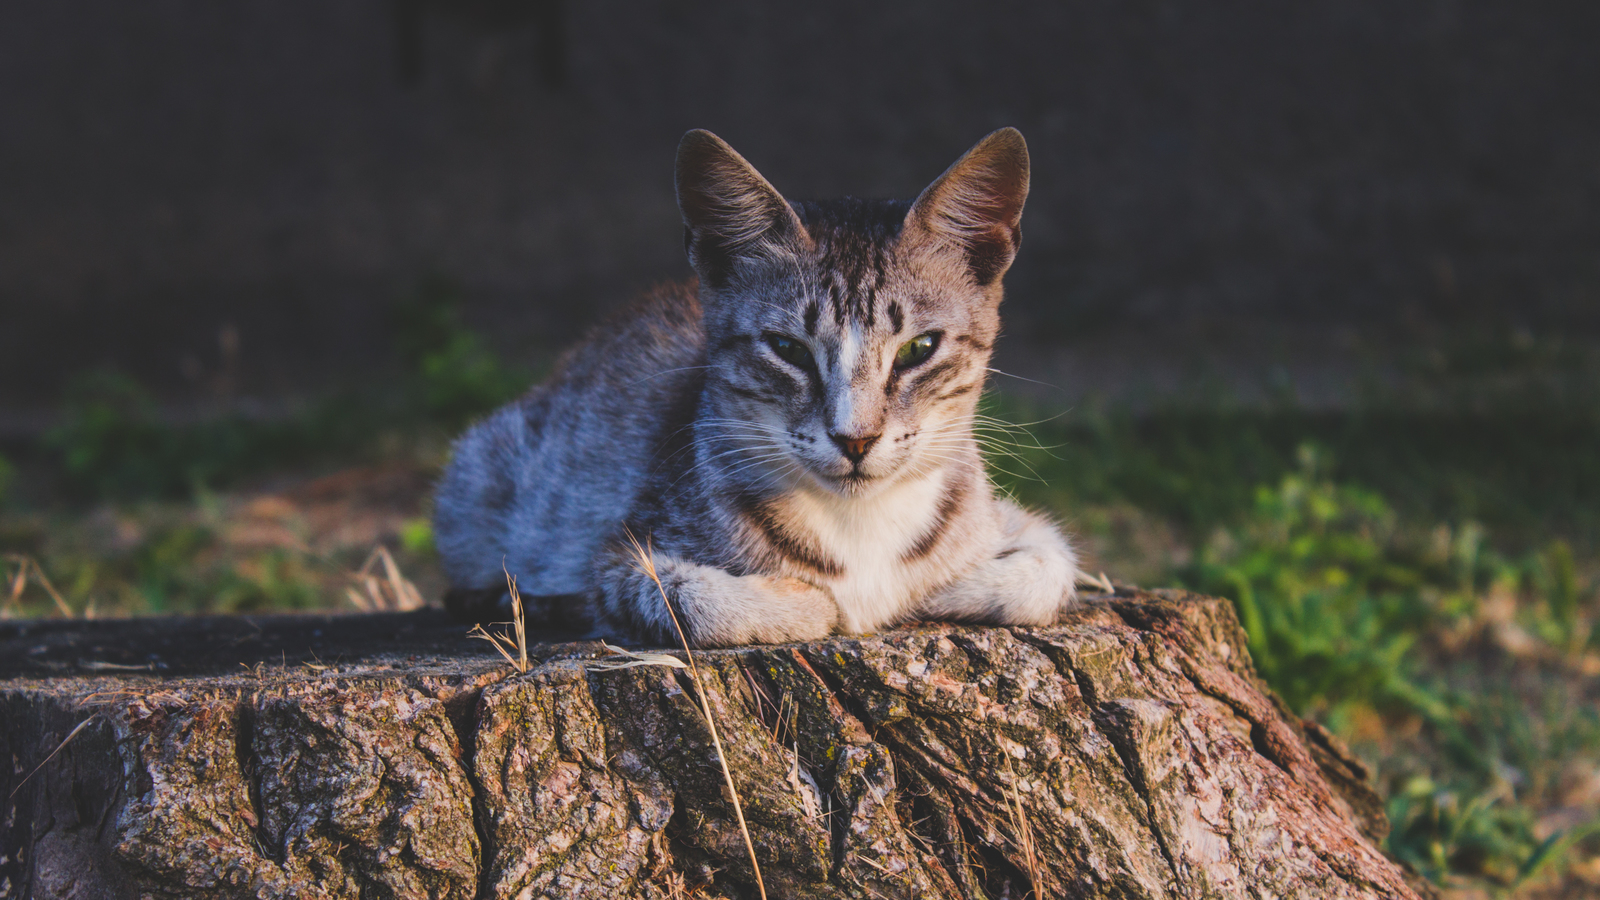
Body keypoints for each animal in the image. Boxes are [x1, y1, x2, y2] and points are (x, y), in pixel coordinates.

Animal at [432, 126, 1081, 643]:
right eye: (788, 349)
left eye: (919, 349)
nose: (855, 439)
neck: (860, 519)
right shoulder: (618, 553)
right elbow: (686, 601)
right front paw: (809, 604)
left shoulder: (1001, 514)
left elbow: (1051, 564)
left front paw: (943, 588)